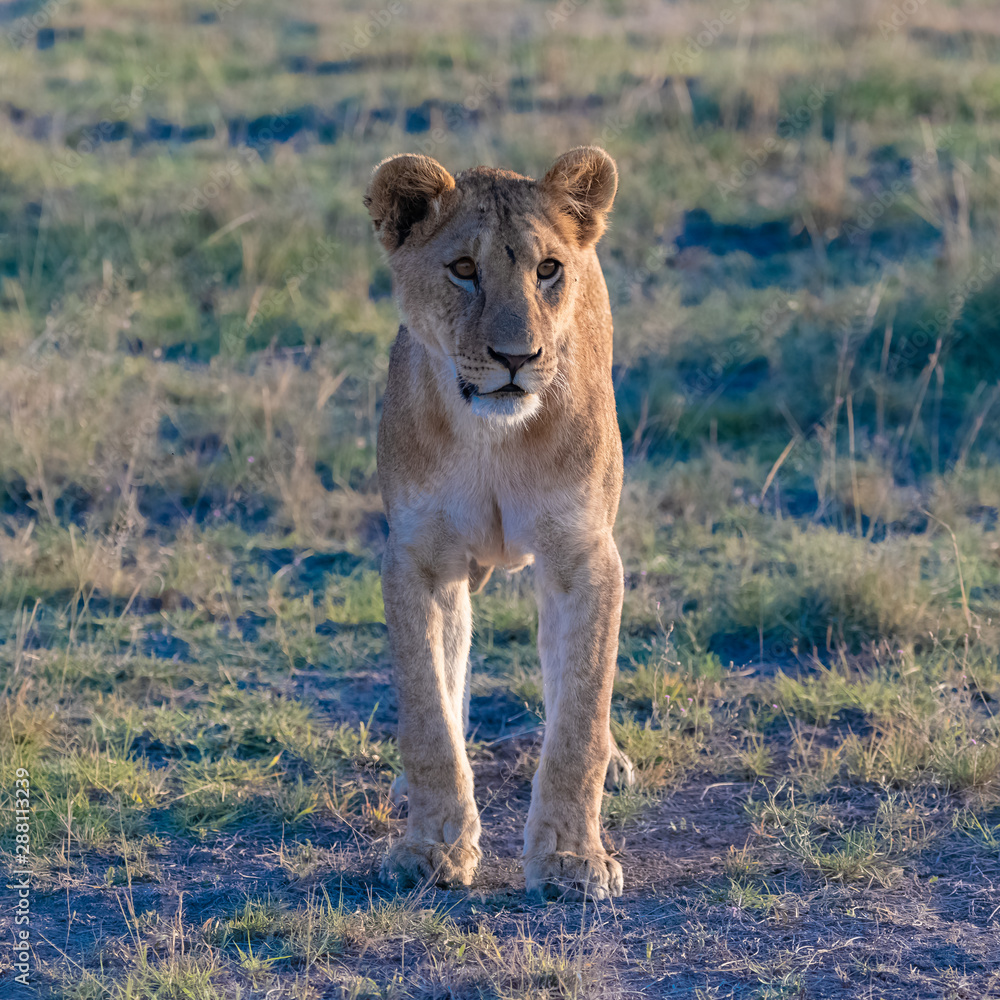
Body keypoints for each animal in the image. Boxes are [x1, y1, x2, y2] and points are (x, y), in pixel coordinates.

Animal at [365, 146, 631, 900]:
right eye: (462, 268)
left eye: (548, 269)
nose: (517, 358)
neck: (494, 438)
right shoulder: (418, 559)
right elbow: (428, 713)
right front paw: (431, 848)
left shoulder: (584, 556)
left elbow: (579, 717)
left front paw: (572, 859)